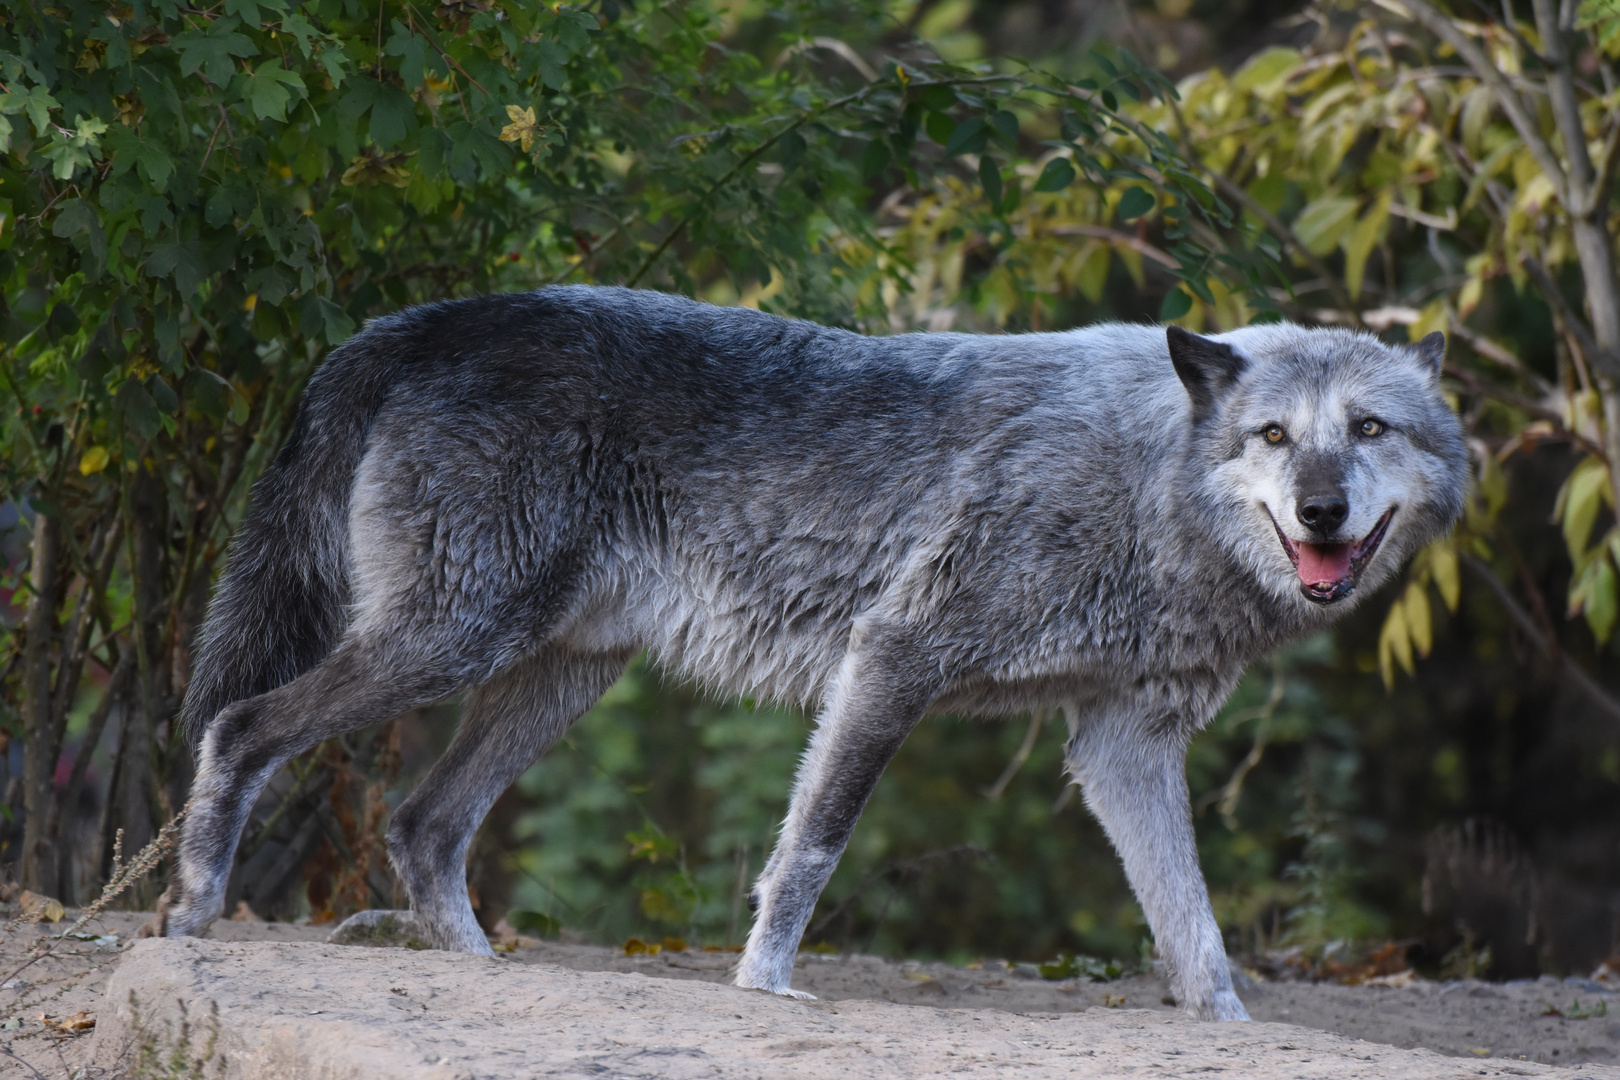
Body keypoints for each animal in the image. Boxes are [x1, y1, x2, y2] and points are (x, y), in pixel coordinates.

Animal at [152, 281, 1470, 1023]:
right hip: (455, 642)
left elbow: (1194, 928)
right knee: (240, 727)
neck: (1148, 484)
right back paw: (194, 911)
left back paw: (485, 972)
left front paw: (1231, 1029)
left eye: (1369, 429)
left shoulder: (1122, 745)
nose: (1321, 514)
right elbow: (809, 854)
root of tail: (418, 325)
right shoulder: (892, 658)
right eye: (1272, 435)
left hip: (555, 674)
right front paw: (763, 989)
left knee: (424, 824)